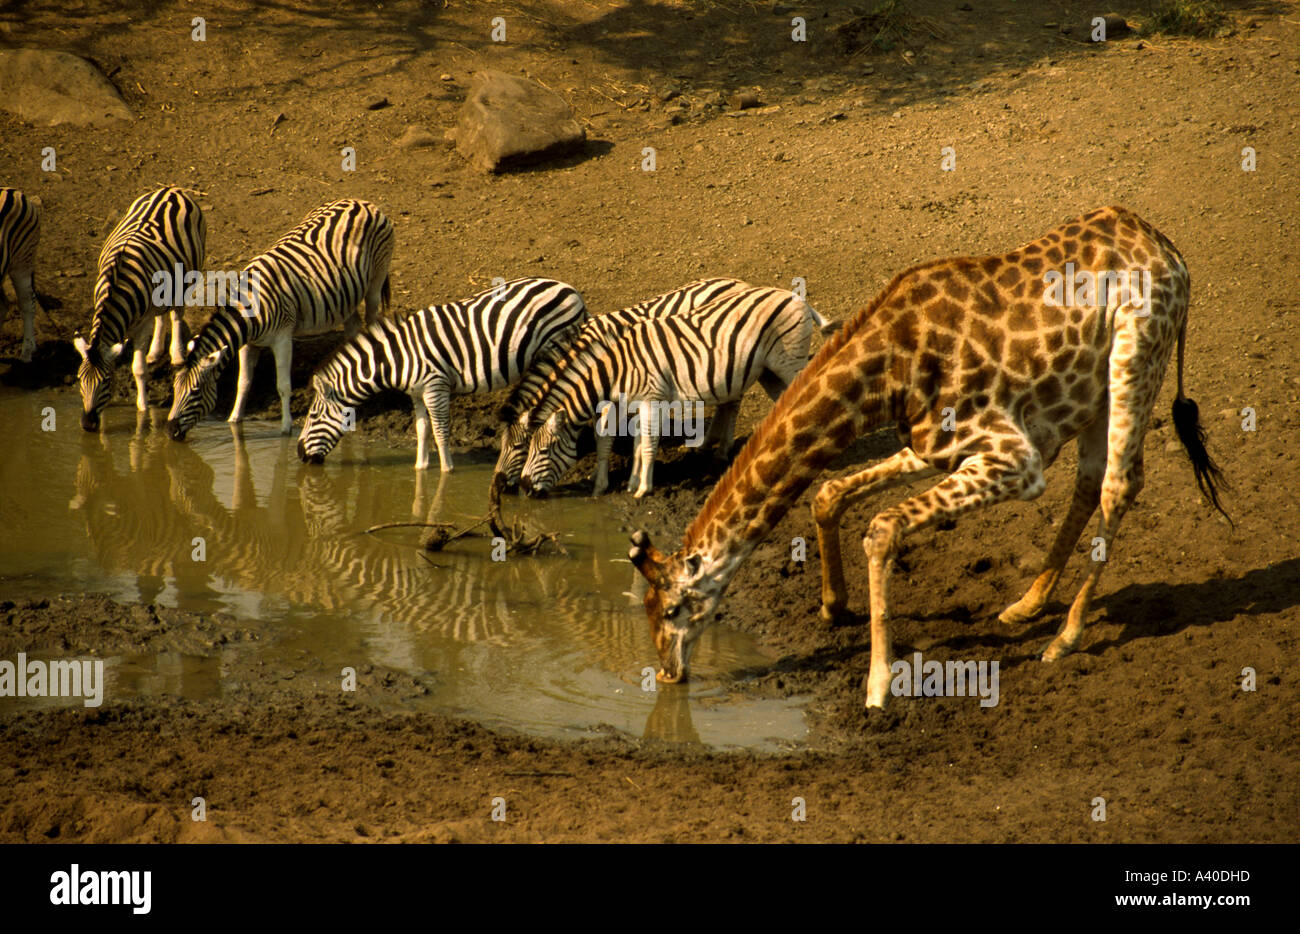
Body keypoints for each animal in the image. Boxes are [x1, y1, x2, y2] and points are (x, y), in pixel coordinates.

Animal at [73, 187, 205, 430]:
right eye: (79, 379)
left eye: (105, 381)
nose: (87, 424)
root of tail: (172, 189)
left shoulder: (142, 323)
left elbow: (138, 368)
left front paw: (143, 410)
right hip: (162, 288)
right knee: (162, 315)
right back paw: (154, 352)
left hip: (188, 278)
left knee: (176, 314)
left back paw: (177, 354)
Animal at [166, 198, 395, 441]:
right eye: (174, 389)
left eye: (195, 392)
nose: (169, 431)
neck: (250, 311)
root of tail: (360, 202)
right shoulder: (248, 344)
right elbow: (243, 382)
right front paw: (234, 420)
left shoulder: (283, 338)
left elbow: (283, 385)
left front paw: (286, 428)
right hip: (347, 292)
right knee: (353, 326)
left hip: (377, 278)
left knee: (372, 317)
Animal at [297, 277, 588, 471]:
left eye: (313, 416)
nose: (298, 454)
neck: (397, 359)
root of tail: (571, 290)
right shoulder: (416, 393)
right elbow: (422, 428)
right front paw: (420, 468)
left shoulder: (435, 386)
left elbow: (439, 430)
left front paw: (446, 472)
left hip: (556, 350)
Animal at [519, 285, 823, 498]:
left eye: (543, 450)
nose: (523, 487)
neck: (620, 368)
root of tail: (798, 298)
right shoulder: (639, 402)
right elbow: (638, 443)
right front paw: (632, 484)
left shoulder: (652, 399)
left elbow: (647, 445)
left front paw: (643, 489)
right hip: (768, 372)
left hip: (788, 362)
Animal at [629, 206, 1227, 710]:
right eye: (647, 609)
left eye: (673, 609)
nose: (667, 673)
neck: (885, 374)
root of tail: (1172, 252)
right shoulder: (935, 447)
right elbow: (829, 493)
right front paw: (832, 606)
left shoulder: (1015, 460)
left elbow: (882, 528)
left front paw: (877, 688)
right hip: (1091, 393)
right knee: (1090, 479)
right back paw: (1026, 605)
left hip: (1136, 356)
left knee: (1120, 484)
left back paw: (1064, 638)